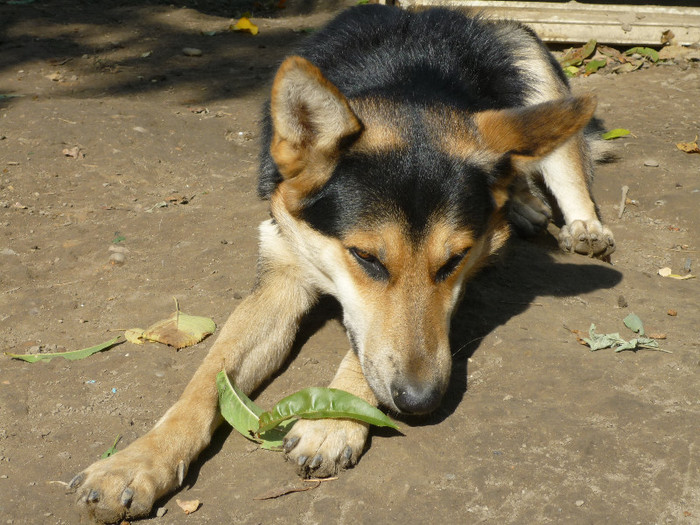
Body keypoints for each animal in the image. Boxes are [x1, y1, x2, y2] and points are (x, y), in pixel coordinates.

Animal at [69, 5, 612, 520]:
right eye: (365, 258)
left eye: (454, 260)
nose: (421, 402)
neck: (404, 81)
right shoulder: (281, 273)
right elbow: (205, 379)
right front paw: (137, 461)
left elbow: (366, 350)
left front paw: (332, 421)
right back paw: (523, 203)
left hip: (529, 56)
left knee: (567, 170)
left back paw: (580, 226)